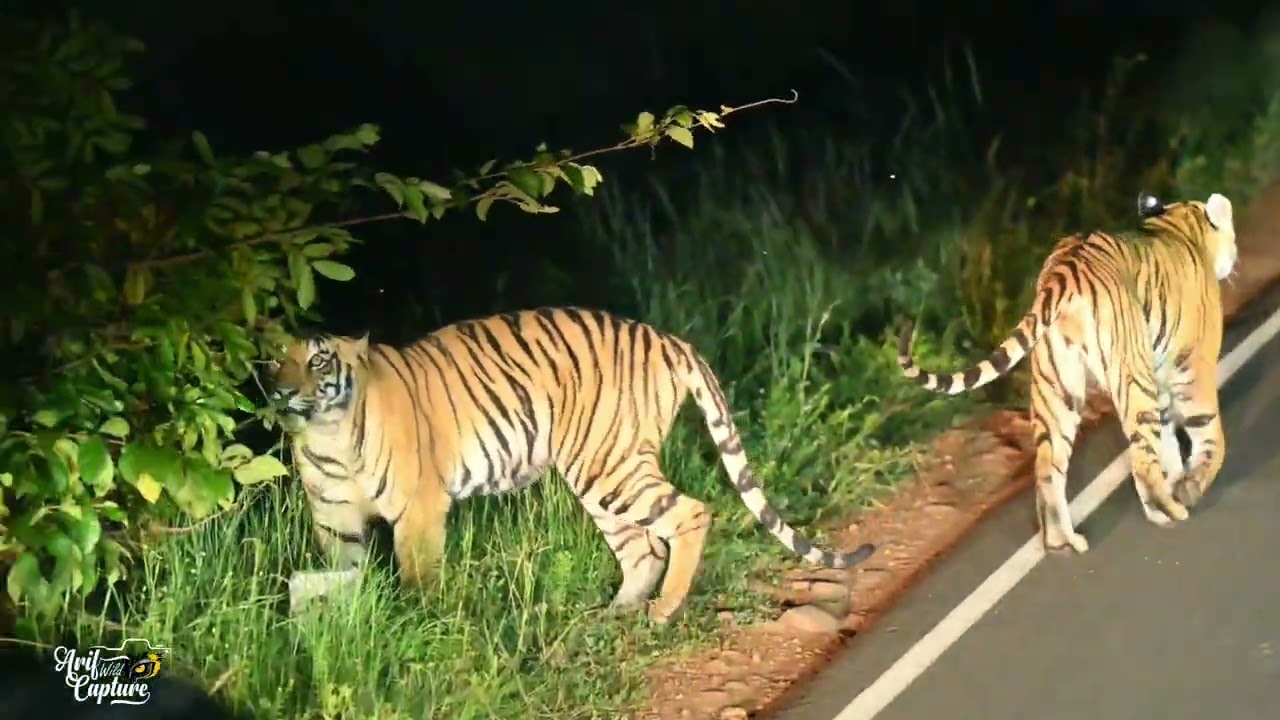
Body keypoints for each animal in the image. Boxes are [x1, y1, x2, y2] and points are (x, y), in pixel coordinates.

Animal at [265, 306, 877, 623]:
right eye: (274, 361)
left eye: (319, 360)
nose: (281, 391)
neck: (329, 436)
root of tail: (669, 338)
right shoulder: (335, 525)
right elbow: (338, 577)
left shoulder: (418, 509)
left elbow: (419, 579)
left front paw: (422, 623)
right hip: (600, 474)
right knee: (643, 548)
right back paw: (618, 610)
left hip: (608, 465)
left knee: (692, 515)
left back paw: (664, 609)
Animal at [896, 191, 1237, 555]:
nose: (1233, 257)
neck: (1177, 222)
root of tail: (1063, 271)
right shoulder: (1192, 365)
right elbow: (1206, 430)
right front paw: (1193, 482)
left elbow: (1170, 435)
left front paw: (1178, 478)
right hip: (1130, 375)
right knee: (1141, 456)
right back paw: (1170, 512)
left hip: (1057, 393)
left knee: (1047, 469)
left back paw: (1062, 541)